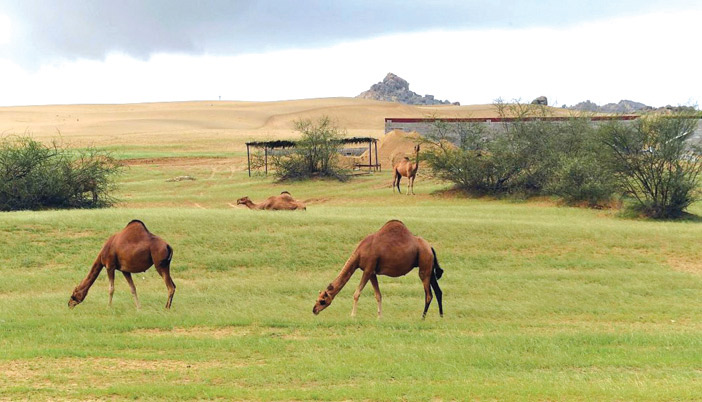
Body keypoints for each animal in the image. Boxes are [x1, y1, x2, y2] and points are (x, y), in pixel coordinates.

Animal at [313, 220, 444, 318]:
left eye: (322, 300)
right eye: (317, 299)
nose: (314, 310)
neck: (360, 253)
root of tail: (430, 248)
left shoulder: (368, 269)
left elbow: (357, 293)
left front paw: (353, 315)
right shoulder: (372, 272)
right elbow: (378, 295)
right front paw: (379, 317)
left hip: (424, 265)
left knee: (428, 294)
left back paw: (422, 317)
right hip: (429, 268)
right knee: (438, 291)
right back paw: (441, 316)